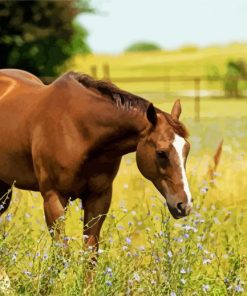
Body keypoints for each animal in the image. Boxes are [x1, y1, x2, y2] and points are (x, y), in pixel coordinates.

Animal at [0, 69, 192, 250]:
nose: (185, 205)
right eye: (161, 153)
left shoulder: (98, 198)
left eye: (186, 150)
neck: (77, 130)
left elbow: (90, 252)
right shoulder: (53, 198)